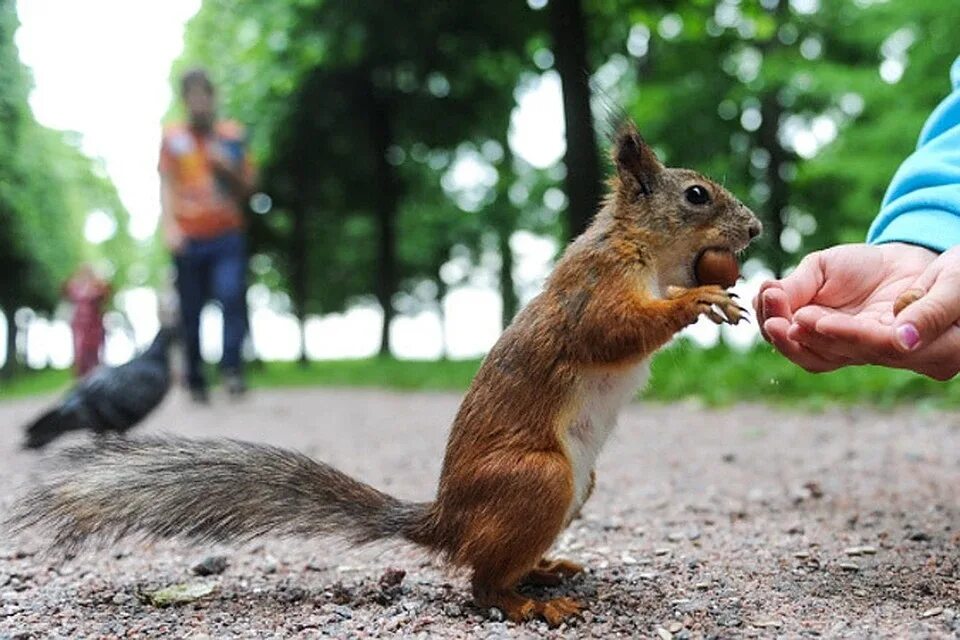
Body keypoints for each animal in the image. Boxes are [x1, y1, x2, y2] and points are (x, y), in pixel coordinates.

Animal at [5, 125, 756, 624]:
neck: (643, 251)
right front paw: (699, 299)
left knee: (491, 563)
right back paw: (530, 604)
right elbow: (613, 331)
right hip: (539, 479)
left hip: (576, 485)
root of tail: (445, 522)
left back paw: (544, 570)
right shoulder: (592, 292)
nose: (753, 230)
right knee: (479, 584)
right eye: (696, 195)